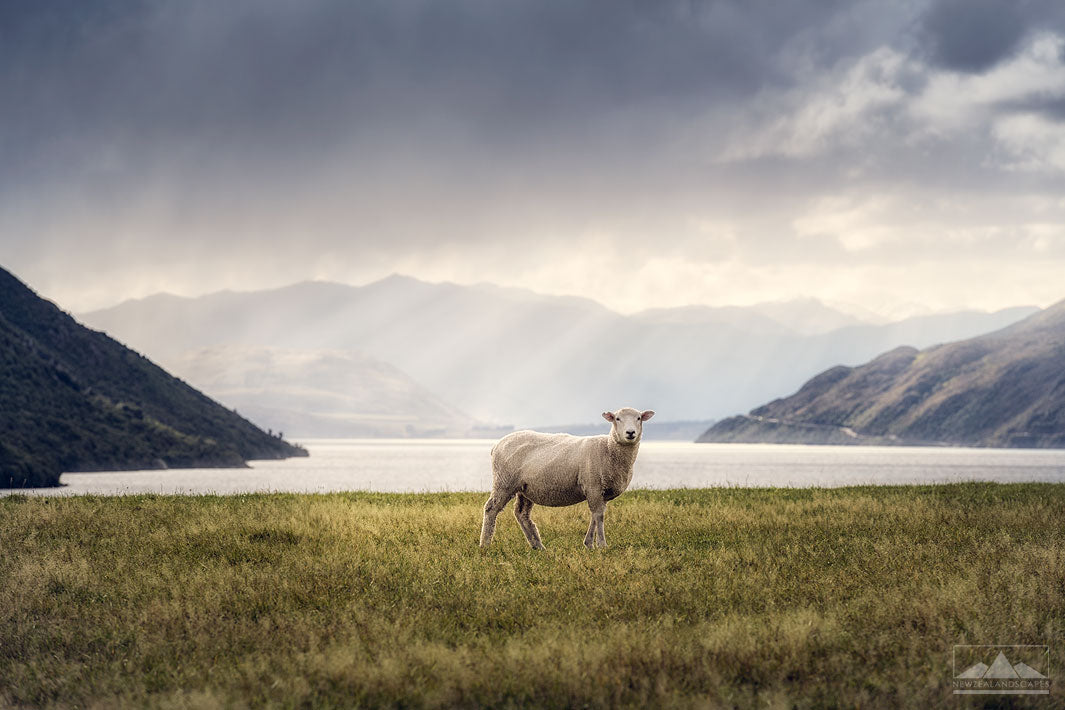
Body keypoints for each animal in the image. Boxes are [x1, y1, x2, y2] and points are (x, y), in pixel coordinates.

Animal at [479, 404, 651, 549]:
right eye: (617, 418)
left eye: (639, 418)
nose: (630, 433)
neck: (608, 449)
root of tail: (497, 444)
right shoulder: (593, 485)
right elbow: (599, 516)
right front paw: (601, 545)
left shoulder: (601, 491)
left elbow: (595, 516)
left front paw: (589, 544)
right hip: (504, 481)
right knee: (491, 509)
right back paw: (485, 544)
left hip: (524, 488)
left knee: (521, 514)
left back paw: (538, 546)